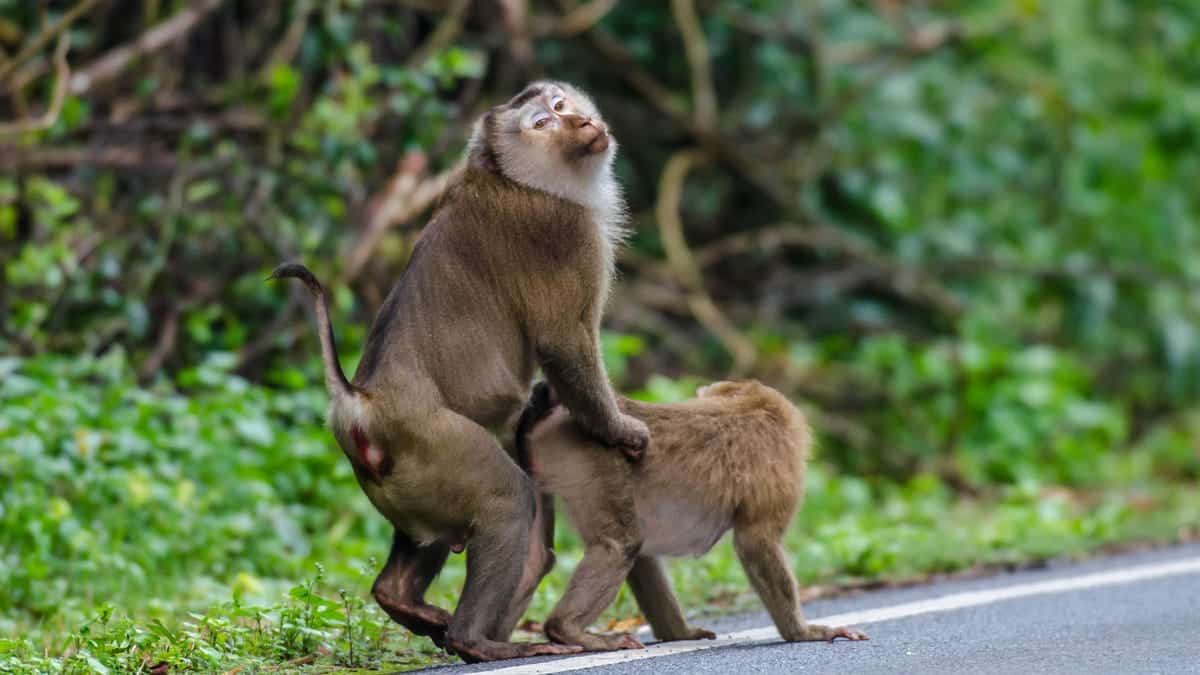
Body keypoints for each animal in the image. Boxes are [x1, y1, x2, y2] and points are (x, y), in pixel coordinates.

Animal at [270, 80, 649, 662]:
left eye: (560, 106)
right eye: (542, 124)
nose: (582, 123)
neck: (513, 177)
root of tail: (361, 401)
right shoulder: (566, 235)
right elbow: (564, 344)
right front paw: (618, 430)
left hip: (407, 479)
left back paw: (405, 600)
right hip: (436, 444)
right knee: (507, 501)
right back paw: (479, 642)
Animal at [513, 380, 869, 652]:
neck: (748, 404)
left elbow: (644, 558)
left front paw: (677, 634)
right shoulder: (777, 464)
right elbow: (756, 541)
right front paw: (803, 633)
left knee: (550, 556)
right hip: (591, 457)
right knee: (619, 545)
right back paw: (565, 629)